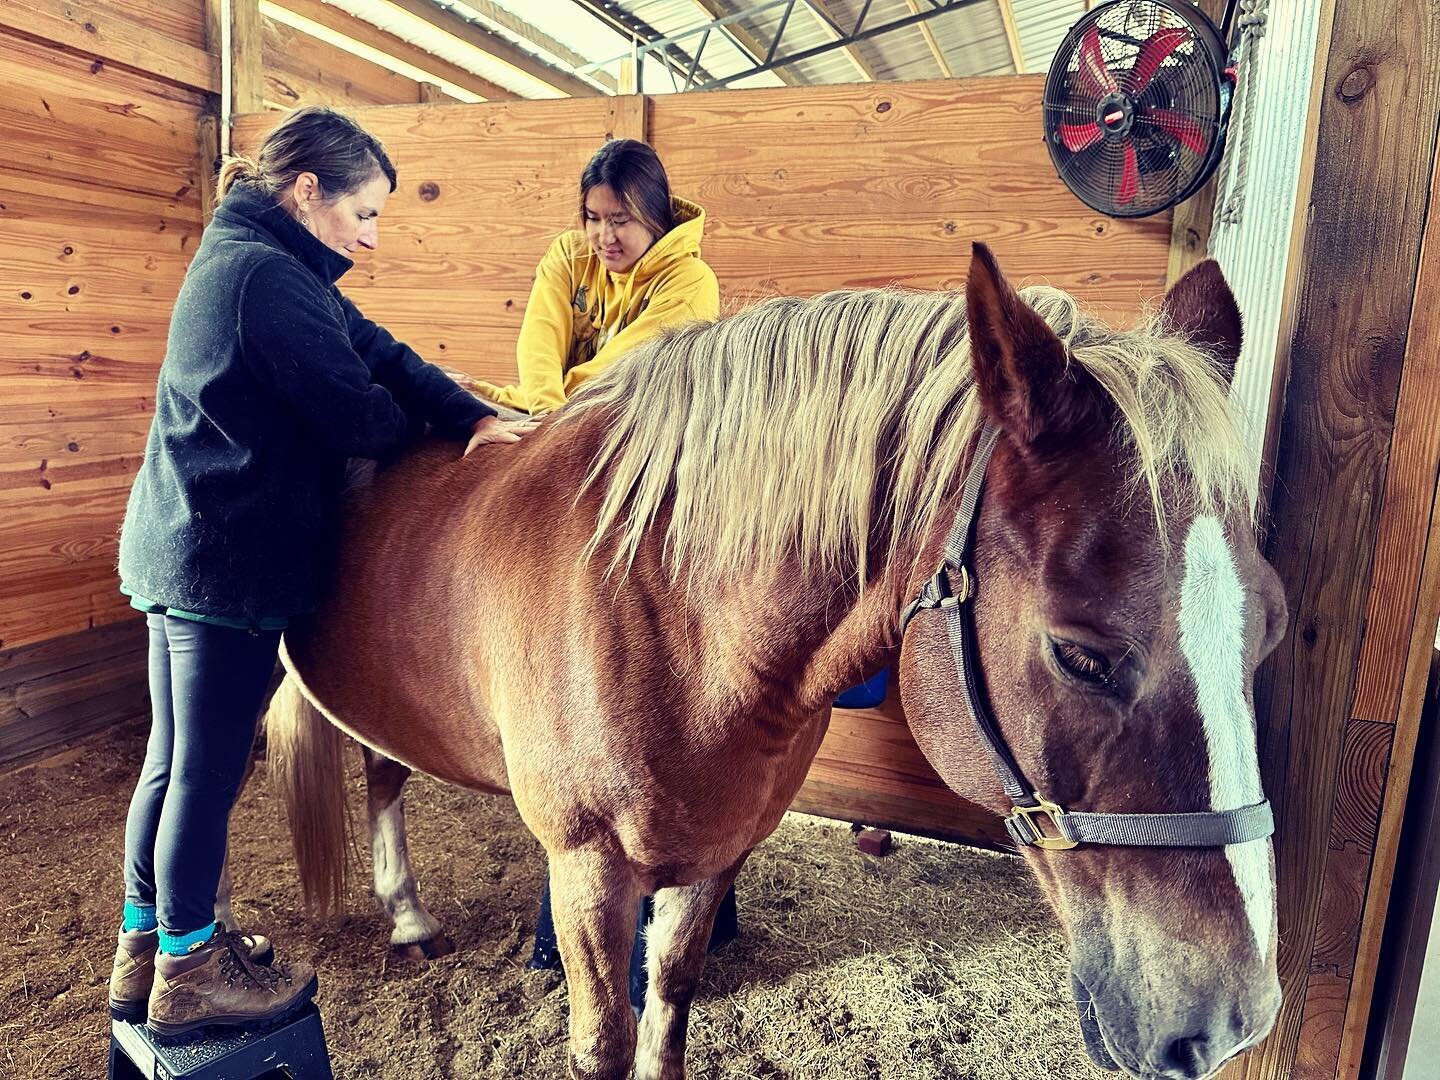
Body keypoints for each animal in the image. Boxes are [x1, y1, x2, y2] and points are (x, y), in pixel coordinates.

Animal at [267, 247, 1284, 1080]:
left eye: (1268, 629)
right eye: (1079, 657)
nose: (1233, 1019)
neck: (665, 607)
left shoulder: (714, 852)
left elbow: (668, 1008)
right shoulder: (588, 872)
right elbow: (604, 1044)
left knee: (383, 766)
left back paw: (407, 915)